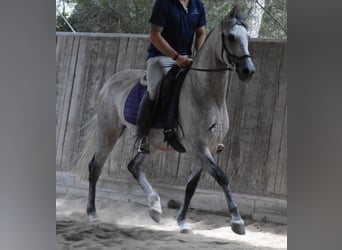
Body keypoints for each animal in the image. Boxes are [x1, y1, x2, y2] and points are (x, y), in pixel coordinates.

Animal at [78, 6, 254, 236]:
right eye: (231, 37)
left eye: (247, 38)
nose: (248, 71)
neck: (206, 94)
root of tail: (109, 83)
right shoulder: (198, 146)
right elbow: (221, 176)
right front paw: (237, 221)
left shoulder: (207, 148)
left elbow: (191, 186)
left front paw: (182, 221)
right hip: (109, 132)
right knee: (95, 167)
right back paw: (93, 213)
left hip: (153, 144)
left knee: (134, 166)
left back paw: (155, 208)